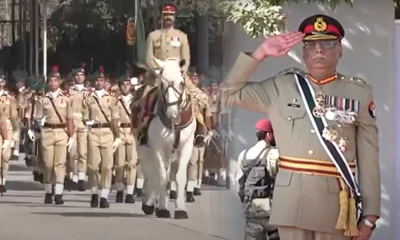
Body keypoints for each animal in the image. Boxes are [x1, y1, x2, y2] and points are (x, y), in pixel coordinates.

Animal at [141, 57, 196, 218]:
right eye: (162, 84)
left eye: (181, 82)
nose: (173, 113)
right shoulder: (157, 148)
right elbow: (161, 177)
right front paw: (163, 208)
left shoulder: (186, 147)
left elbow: (179, 177)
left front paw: (180, 209)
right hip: (146, 150)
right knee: (151, 174)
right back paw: (150, 204)